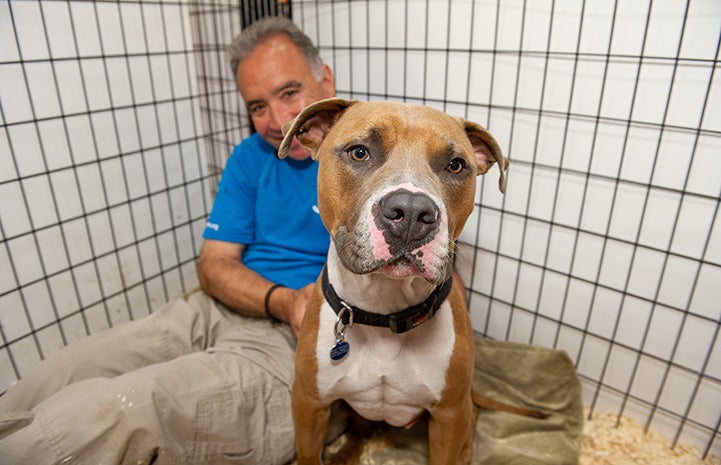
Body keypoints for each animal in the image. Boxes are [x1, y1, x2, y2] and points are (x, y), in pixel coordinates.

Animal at [278, 99, 510, 464]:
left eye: (456, 165)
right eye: (359, 152)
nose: (412, 212)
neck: (384, 310)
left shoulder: (448, 417)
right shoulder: (308, 404)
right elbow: (309, 453)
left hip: (460, 408)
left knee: (473, 414)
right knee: (360, 429)